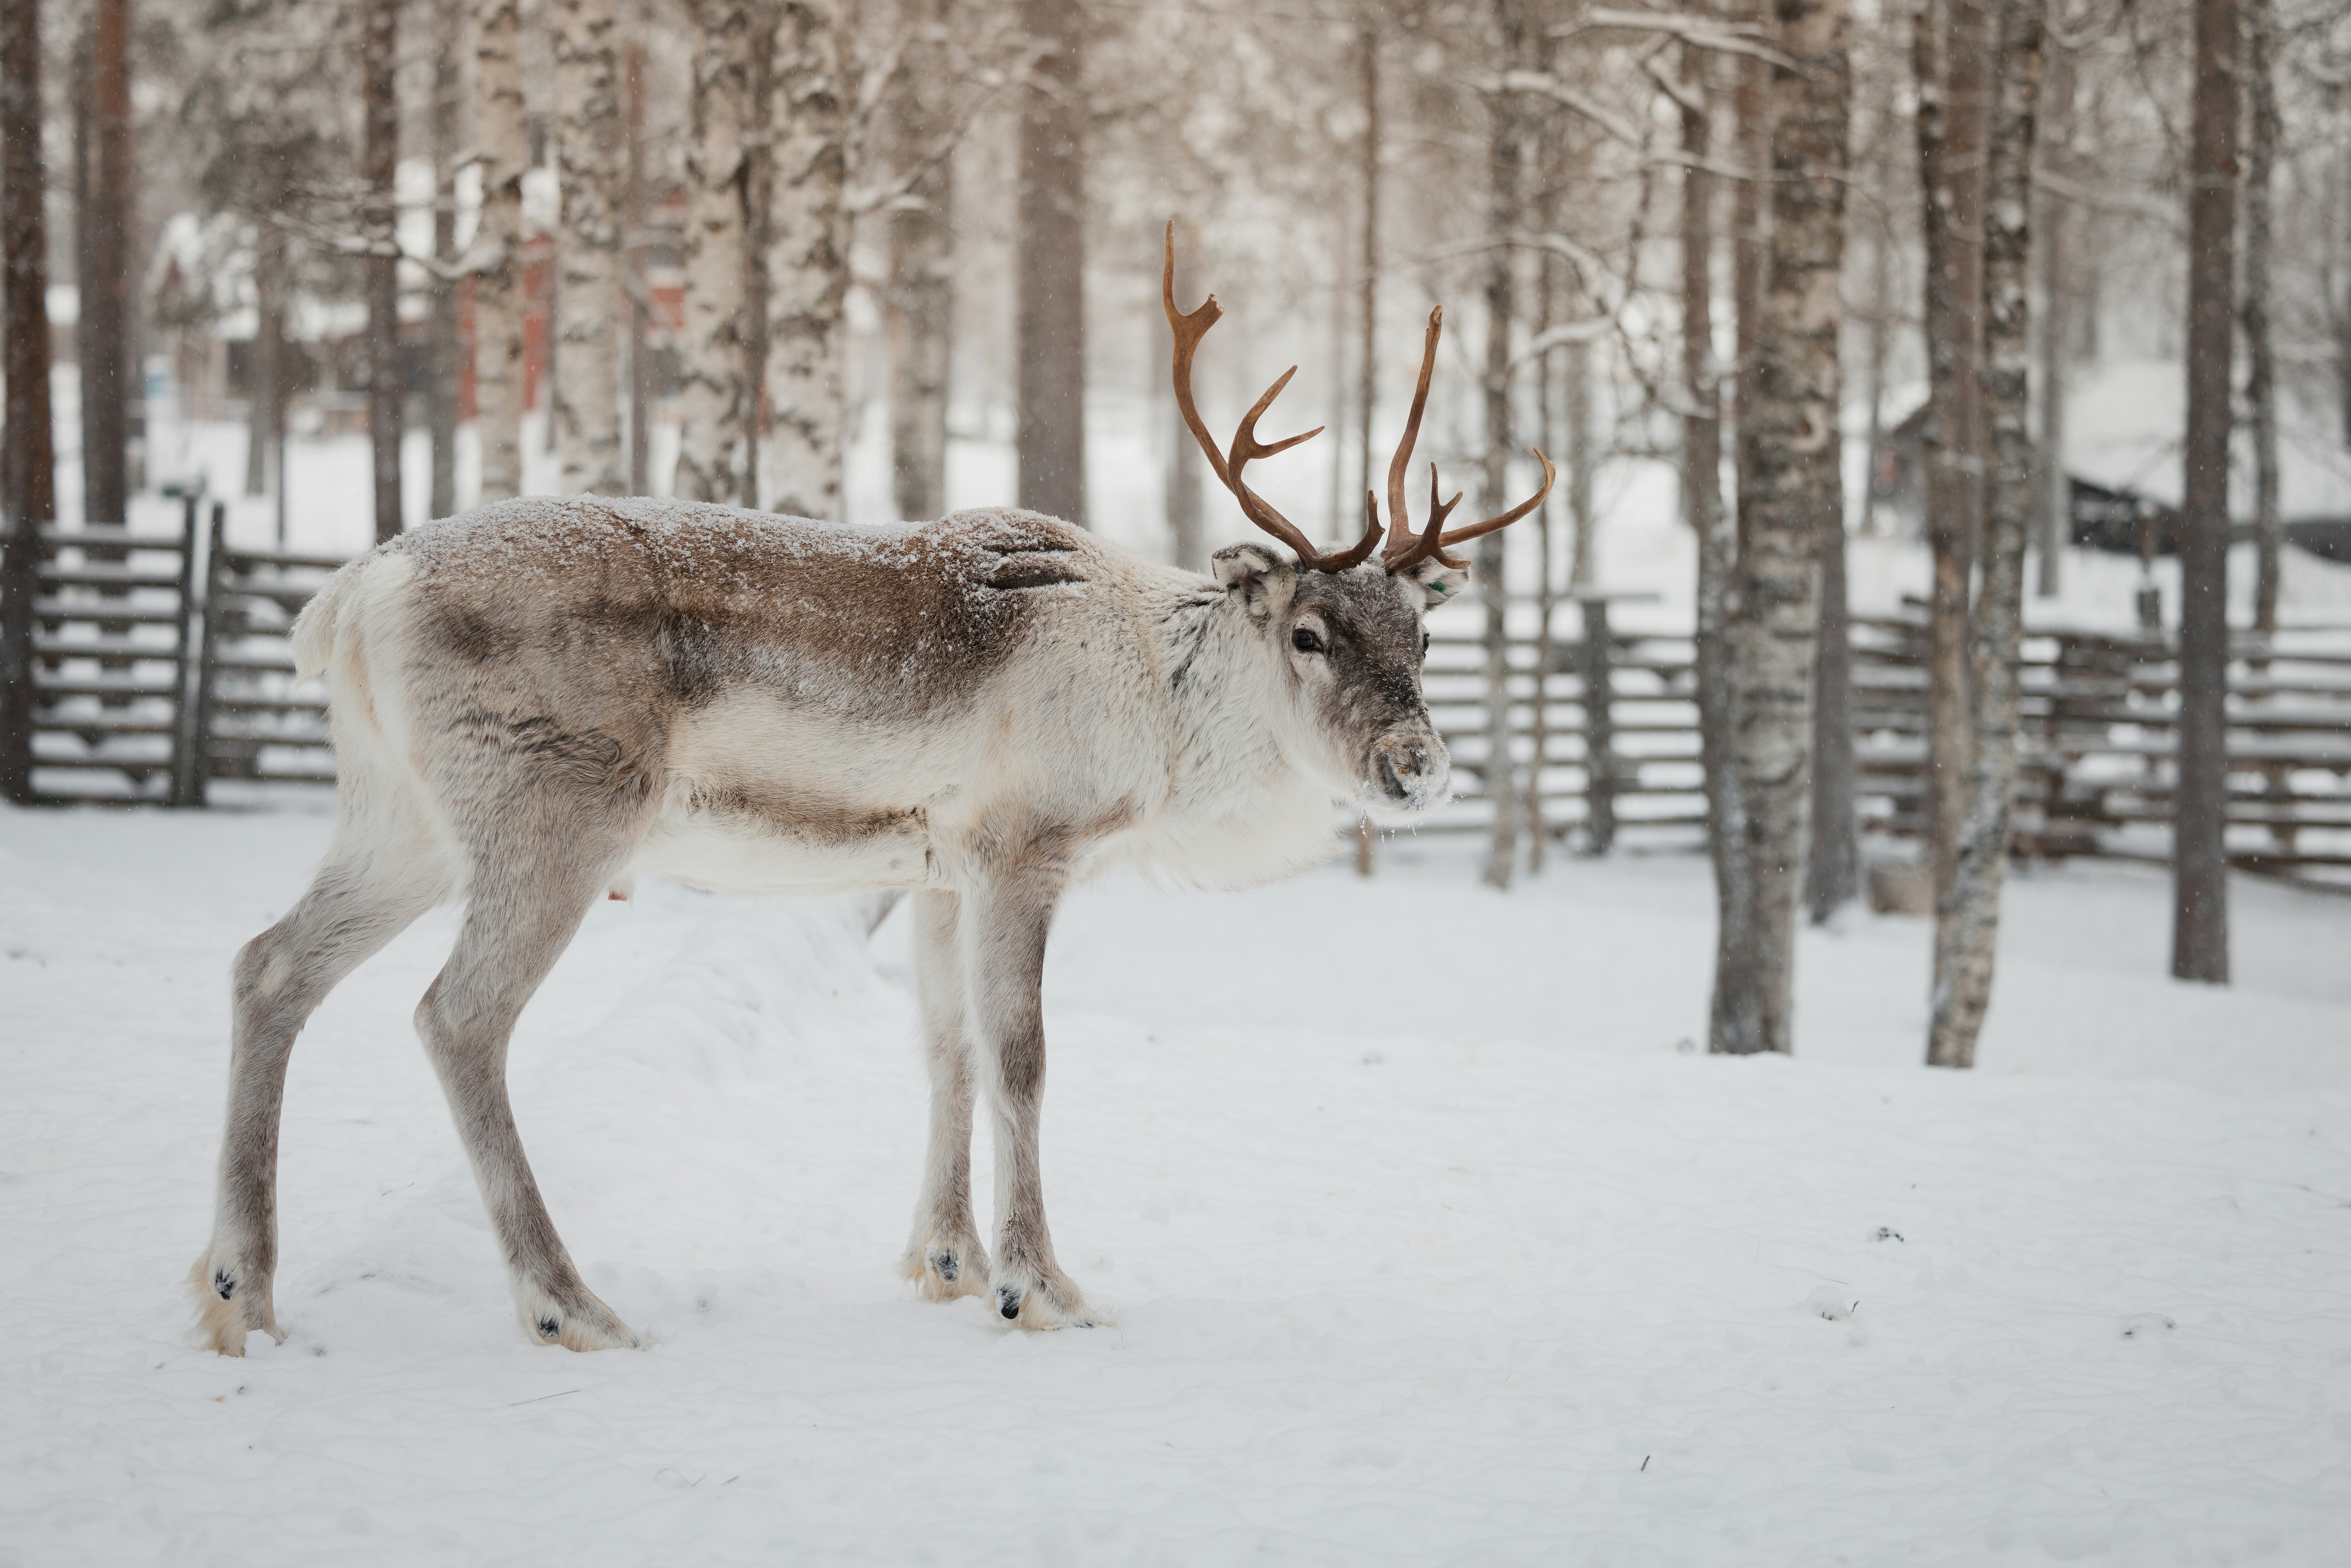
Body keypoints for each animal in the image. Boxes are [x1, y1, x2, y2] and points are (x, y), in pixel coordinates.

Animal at [189, 225, 1552, 1356]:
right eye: (1312, 633)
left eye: (1423, 634)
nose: (1418, 767)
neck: (1166, 719)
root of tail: (350, 596)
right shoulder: (1022, 846)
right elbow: (1022, 1055)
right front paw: (1039, 1284)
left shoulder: (937, 867)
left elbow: (944, 1046)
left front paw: (946, 1259)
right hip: (553, 815)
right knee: (457, 1016)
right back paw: (568, 1303)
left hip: (401, 820)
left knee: (269, 964)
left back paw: (237, 1289)